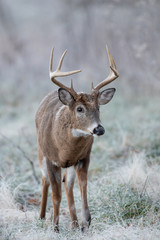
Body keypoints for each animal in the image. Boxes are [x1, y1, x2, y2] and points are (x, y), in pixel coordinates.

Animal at [35, 45, 119, 232]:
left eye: (98, 108)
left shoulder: (83, 157)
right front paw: (55, 227)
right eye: (79, 109)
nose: (99, 128)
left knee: (68, 185)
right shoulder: (51, 159)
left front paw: (85, 222)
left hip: (70, 164)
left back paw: (73, 223)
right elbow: (56, 195)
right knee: (45, 181)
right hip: (40, 151)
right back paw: (42, 217)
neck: (65, 149)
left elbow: (83, 187)